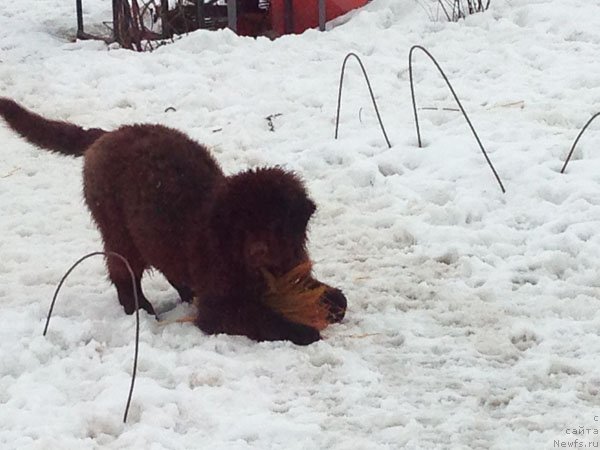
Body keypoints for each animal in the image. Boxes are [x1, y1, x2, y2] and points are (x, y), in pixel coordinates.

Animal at [0, 98, 346, 344]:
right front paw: (302, 330)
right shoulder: (219, 306)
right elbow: (262, 318)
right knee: (122, 272)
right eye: (242, 226)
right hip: (118, 230)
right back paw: (139, 309)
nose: (257, 251)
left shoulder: (295, 268)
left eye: (276, 223)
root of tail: (109, 133)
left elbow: (339, 299)